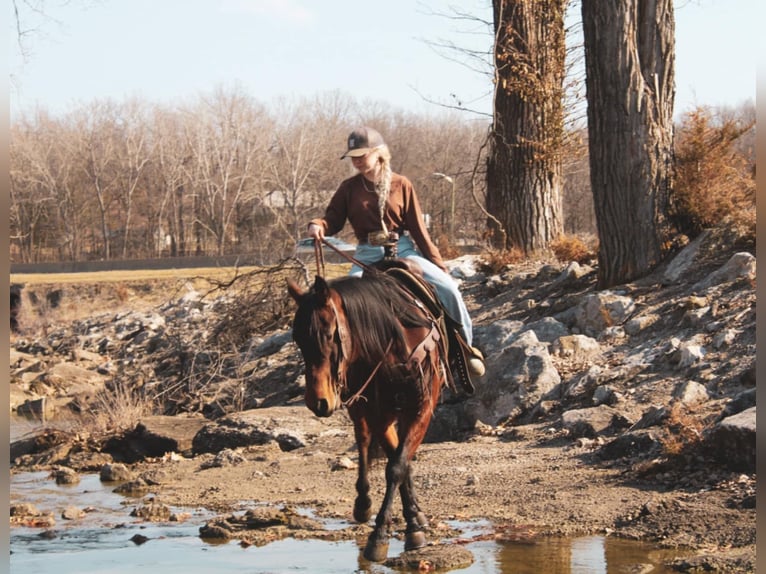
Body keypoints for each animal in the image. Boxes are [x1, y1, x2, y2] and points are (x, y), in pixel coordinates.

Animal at [288, 274, 448, 564]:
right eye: (298, 339)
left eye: (329, 334)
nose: (318, 401)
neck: (395, 350)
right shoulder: (378, 413)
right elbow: (396, 461)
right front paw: (397, 528)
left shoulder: (422, 408)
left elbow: (397, 466)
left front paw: (398, 530)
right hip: (360, 408)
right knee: (363, 440)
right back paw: (365, 503)